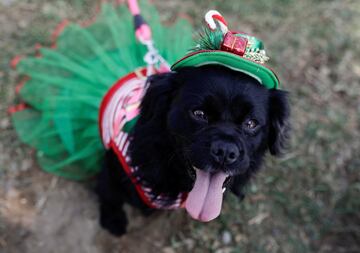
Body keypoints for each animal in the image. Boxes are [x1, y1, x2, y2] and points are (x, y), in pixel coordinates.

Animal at [96, 64, 290, 235]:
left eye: (251, 123)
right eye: (199, 114)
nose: (225, 151)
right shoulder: (112, 167)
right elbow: (109, 194)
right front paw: (113, 220)